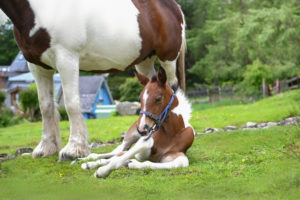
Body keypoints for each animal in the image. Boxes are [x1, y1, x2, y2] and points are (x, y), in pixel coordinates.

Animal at [0, 0, 186, 160]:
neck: (40, 9)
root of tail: (174, 6)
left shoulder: (66, 59)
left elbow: (71, 103)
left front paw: (73, 149)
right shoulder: (37, 67)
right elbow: (45, 106)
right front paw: (46, 147)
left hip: (168, 59)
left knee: (172, 91)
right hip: (144, 62)